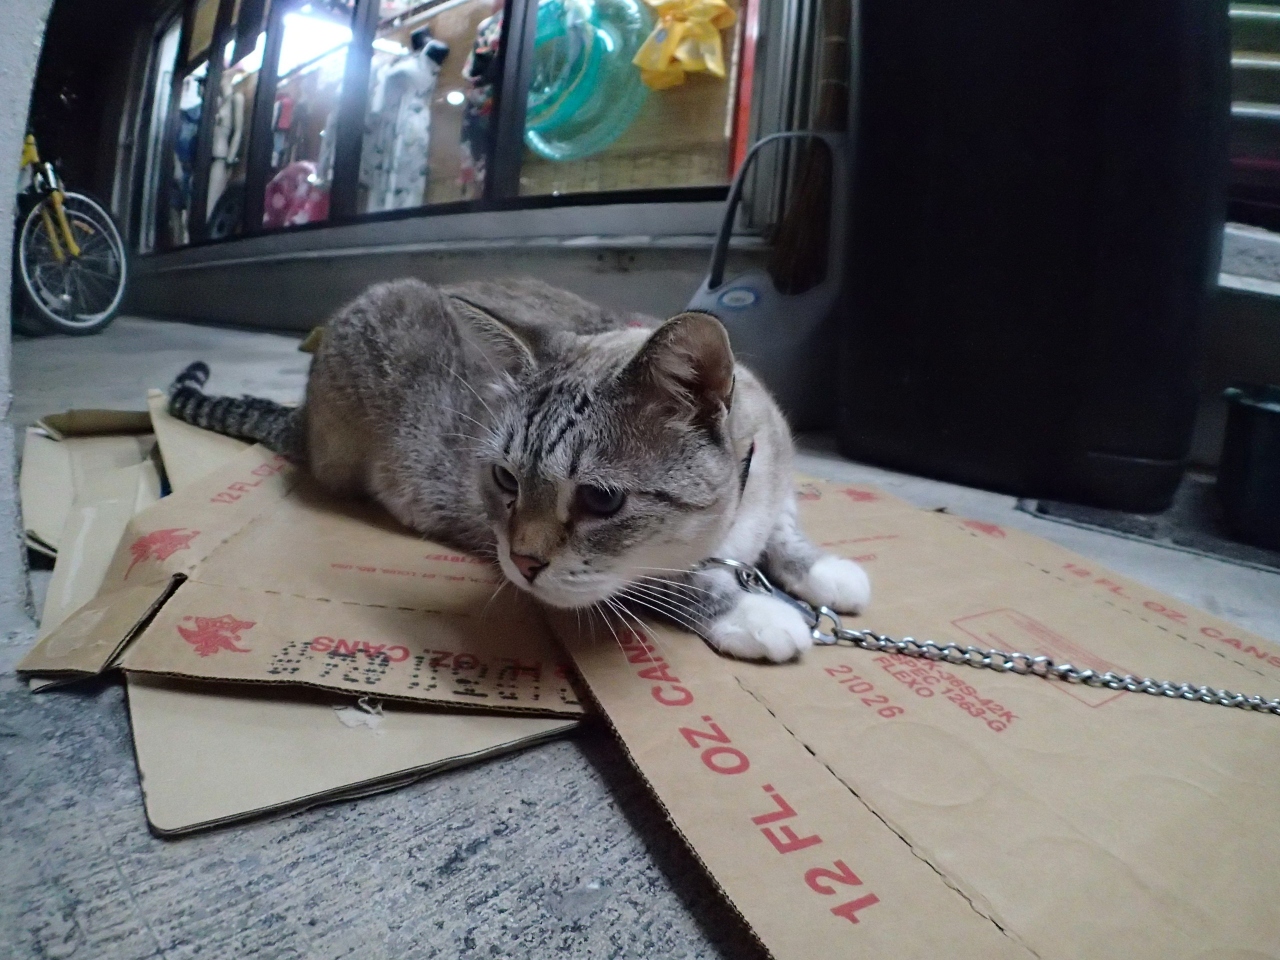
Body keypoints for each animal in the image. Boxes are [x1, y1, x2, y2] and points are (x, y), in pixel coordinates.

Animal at [168, 277, 869, 661]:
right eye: (506, 480)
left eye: (601, 500)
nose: (525, 564)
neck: (732, 524)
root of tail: (303, 409)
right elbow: (675, 584)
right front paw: (755, 612)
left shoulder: (777, 473)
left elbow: (787, 531)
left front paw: (824, 572)